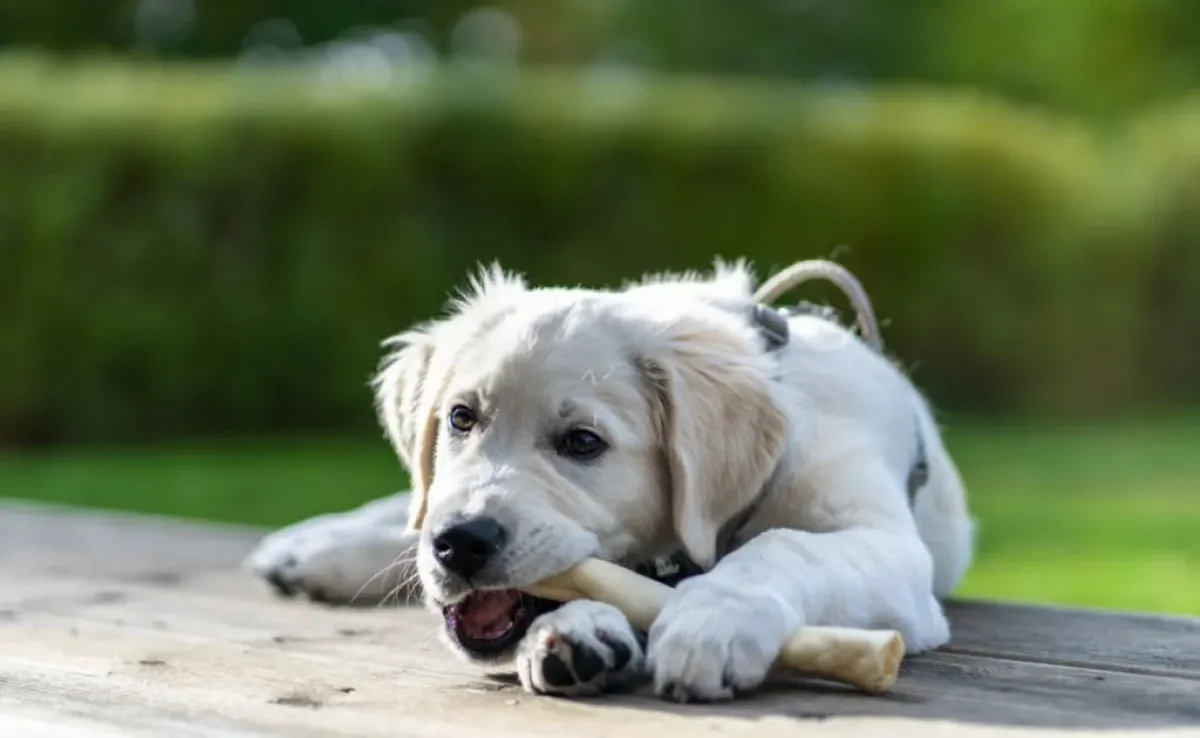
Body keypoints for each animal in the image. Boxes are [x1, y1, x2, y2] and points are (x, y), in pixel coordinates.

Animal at [246, 261, 974, 705]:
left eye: (582, 443)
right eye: (460, 417)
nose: (460, 543)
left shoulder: (889, 546)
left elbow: (786, 546)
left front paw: (714, 617)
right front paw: (586, 631)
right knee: (409, 514)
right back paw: (314, 548)